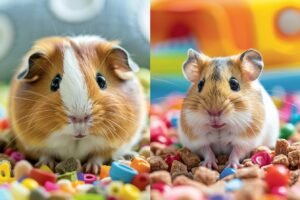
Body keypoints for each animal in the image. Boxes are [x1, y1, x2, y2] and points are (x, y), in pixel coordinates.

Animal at [9, 36, 148, 173]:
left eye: (102, 81)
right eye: (54, 83)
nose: (80, 118)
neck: (76, 141)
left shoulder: (113, 145)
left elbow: (98, 156)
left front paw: (92, 169)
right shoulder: (31, 143)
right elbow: (44, 154)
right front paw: (47, 165)